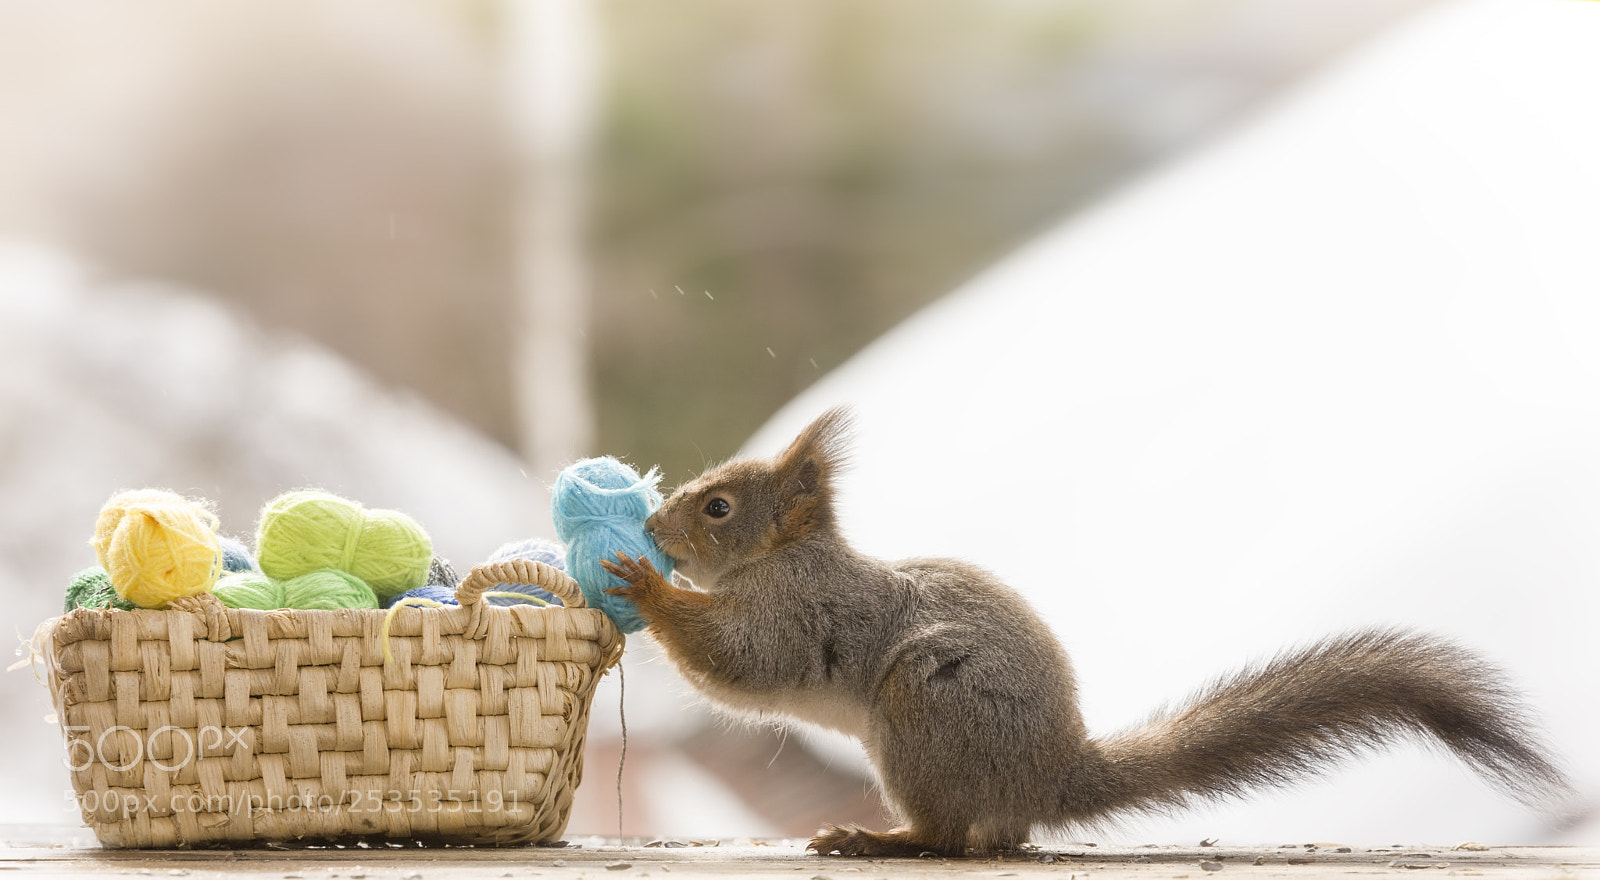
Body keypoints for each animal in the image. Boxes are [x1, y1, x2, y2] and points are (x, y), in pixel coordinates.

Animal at [600, 407, 1574, 857]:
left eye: (718, 507)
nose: (652, 525)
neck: (786, 558)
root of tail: (1049, 774)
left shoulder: (803, 612)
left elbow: (742, 662)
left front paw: (645, 585)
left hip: (923, 712)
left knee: (948, 837)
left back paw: (876, 839)